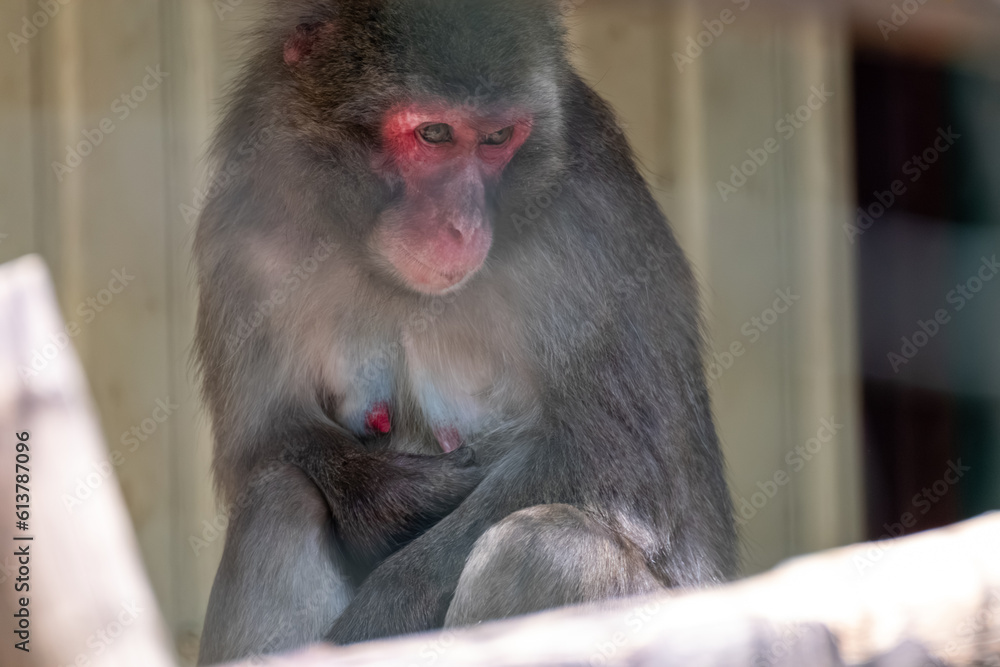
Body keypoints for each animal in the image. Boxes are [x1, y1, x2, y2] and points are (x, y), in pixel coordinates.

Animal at [194, 1, 738, 664]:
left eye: (498, 138)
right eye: (434, 134)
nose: (462, 225)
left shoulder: (590, 224)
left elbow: (615, 462)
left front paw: (387, 607)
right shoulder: (247, 221)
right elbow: (266, 438)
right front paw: (391, 500)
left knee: (544, 550)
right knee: (279, 497)